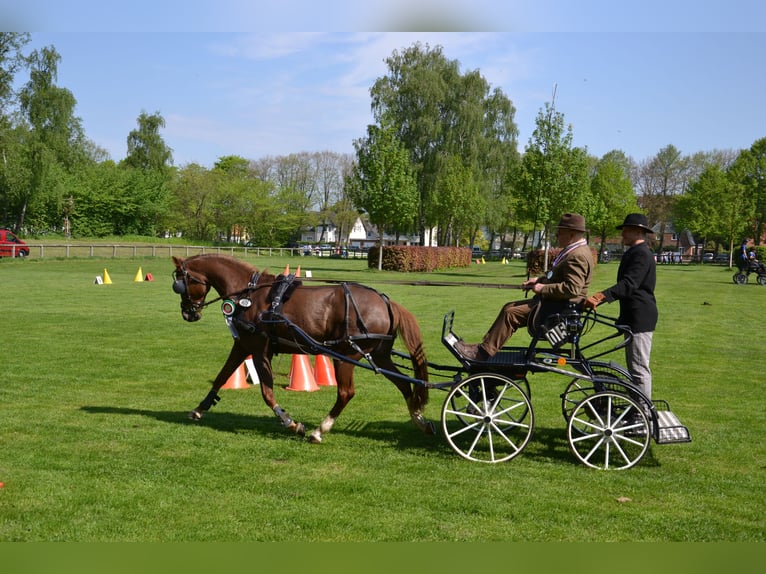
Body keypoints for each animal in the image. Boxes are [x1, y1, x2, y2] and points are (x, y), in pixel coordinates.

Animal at [171, 255, 432, 446]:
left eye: (181, 283)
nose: (188, 313)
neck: (248, 294)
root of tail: (386, 302)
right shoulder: (243, 345)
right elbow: (222, 376)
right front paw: (200, 408)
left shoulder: (259, 349)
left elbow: (267, 392)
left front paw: (291, 422)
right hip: (379, 355)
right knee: (404, 384)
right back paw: (419, 419)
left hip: (346, 356)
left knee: (346, 393)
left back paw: (320, 430)